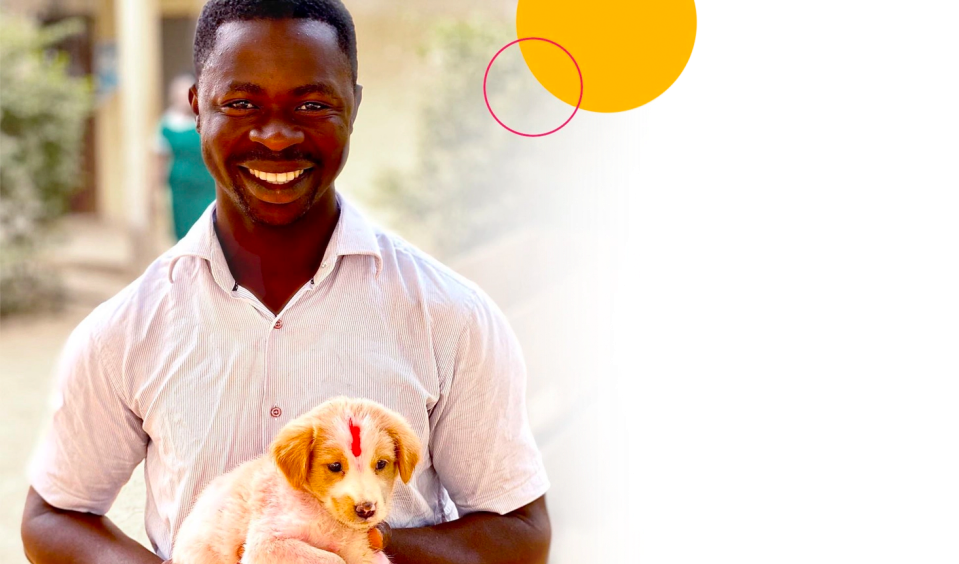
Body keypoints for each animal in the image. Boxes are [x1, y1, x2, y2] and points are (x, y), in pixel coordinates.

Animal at [170, 396, 424, 564]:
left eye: (381, 464)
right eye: (335, 466)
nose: (366, 510)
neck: (325, 515)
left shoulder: (361, 548)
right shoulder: (266, 543)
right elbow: (333, 559)